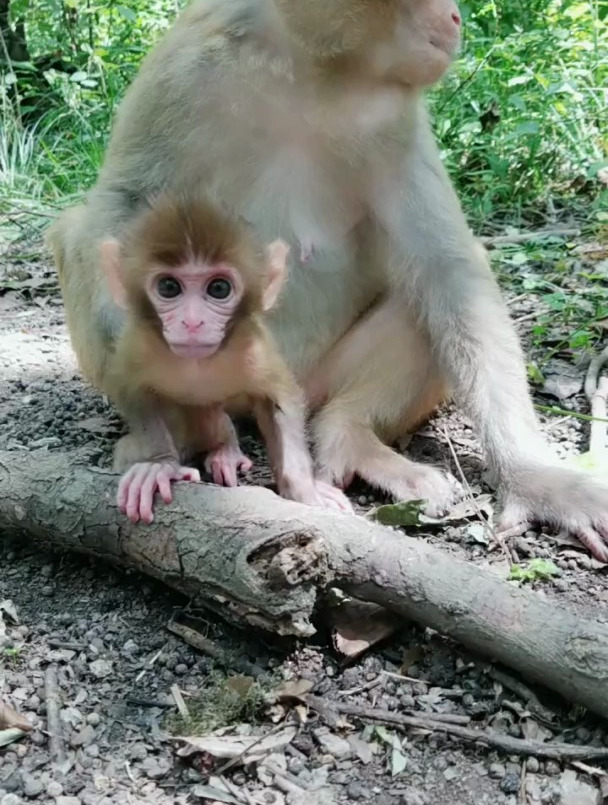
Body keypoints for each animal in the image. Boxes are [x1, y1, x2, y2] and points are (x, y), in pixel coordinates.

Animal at [99, 194, 352, 520]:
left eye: (218, 288)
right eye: (169, 287)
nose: (193, 322)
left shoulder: (253, 348)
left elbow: (280, 398)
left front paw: (304, 488)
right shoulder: (137, 345)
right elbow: (132, 391)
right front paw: (159, 466)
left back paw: (226, 450)